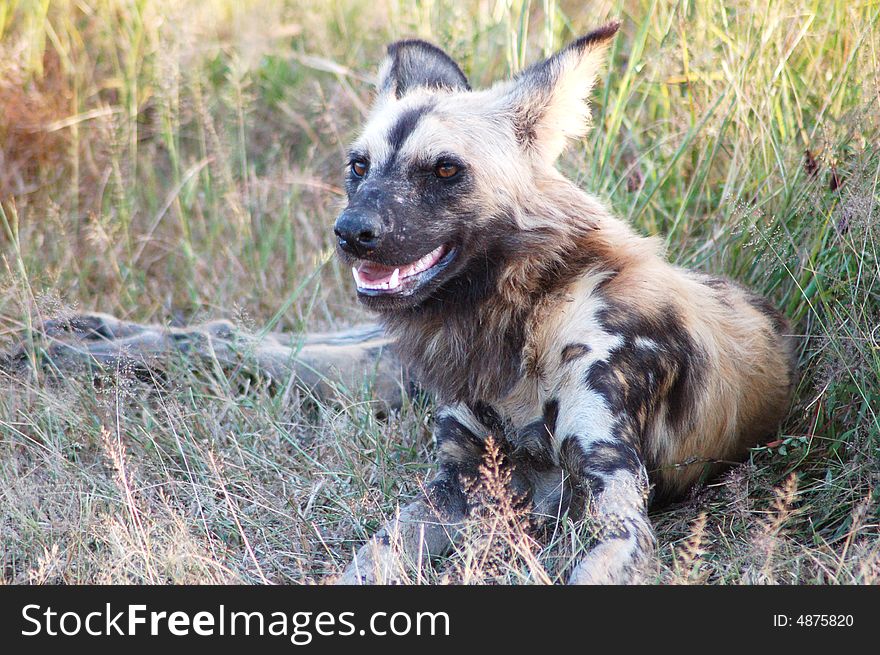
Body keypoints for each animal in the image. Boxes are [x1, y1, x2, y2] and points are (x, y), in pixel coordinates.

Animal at [332, 21, 796, 584]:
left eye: (444, 170)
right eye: (359, 166)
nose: (351, 232)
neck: (526, 319)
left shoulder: (615, 507)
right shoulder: (452, 487)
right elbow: (371, 558)